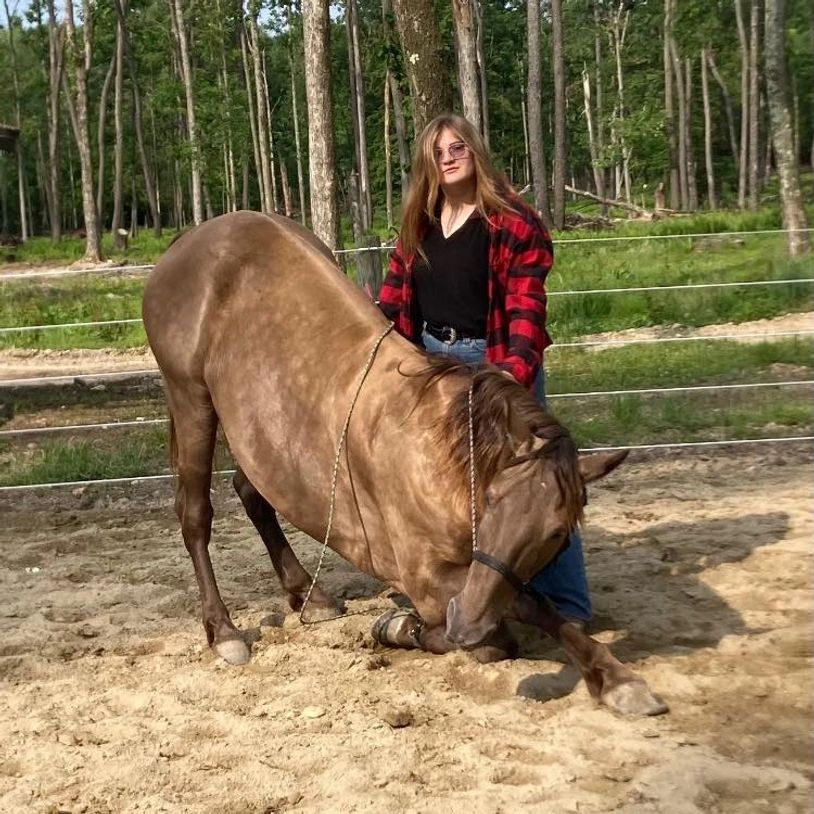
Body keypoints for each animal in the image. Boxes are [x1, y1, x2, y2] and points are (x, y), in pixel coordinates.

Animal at [142, 210, 666, 717]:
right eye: (491, 498)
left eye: (557, 533)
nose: (465, 622)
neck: (435, 455)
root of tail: (187, 242)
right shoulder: (429, 579)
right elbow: (520, 612)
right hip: (192, 400)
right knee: (195, 515)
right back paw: (225, 631)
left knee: (254, 493)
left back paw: (310, 596)